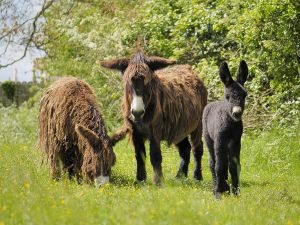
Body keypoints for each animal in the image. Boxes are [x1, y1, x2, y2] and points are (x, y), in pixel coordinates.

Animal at [204, 60, 248, 199]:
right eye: (227, 96)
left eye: (244, 95)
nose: (237, 113)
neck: (231, 125)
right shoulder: (220, 141)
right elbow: (219, 166)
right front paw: (219, 193)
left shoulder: (236, 142)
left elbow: (234, 166)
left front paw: (236, 193)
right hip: (209, 140)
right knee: (212, 162)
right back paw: (216, 188)